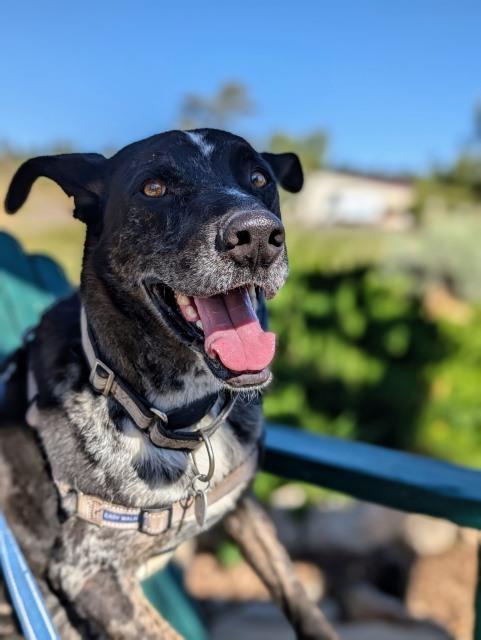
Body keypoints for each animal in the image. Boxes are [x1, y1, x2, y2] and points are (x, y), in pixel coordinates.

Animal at [1, 131, 336, 640]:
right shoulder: (91, 575)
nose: (258, 237)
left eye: (259, 178)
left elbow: (298, 594)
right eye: (154, 188)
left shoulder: (241, 504)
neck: (177, 418)